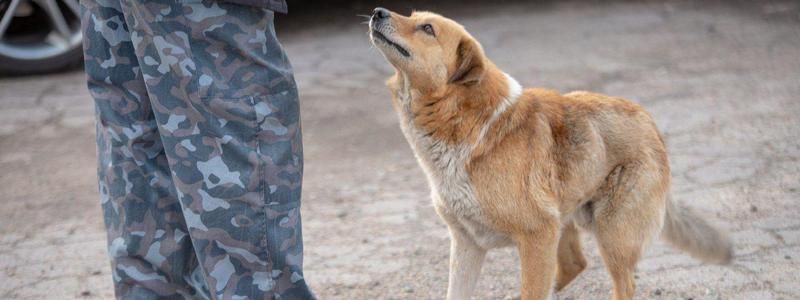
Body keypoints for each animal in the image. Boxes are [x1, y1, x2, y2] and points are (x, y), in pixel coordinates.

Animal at [366, 7, 736, 300]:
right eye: (411, 15)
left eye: (427, 29)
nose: (378, 11)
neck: (463, 121)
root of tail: (650, 122)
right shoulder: (468, 243)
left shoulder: (535, 236)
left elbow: (533, 291)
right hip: (567, 217)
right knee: (575, 264)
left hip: (612, 235)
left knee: (623, 283)